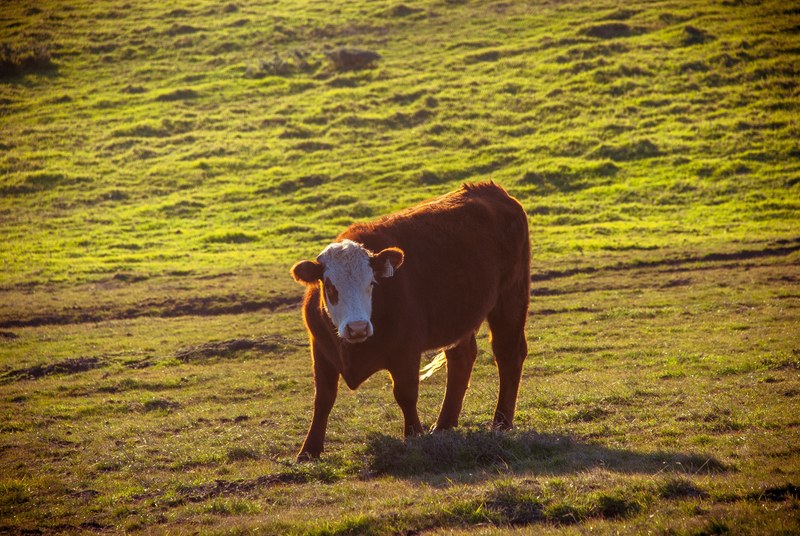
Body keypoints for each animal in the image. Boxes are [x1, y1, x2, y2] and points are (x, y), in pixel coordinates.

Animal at [290, 182, 530, 460]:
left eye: (371, 283)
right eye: (329, 286)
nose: (357, 327)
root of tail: (491, 189)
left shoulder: (406, 351)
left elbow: (405, 394)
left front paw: (414, 436)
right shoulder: (321, 351)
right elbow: (323, 399)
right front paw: (308, 450)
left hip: (510, 298)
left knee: (508, 354)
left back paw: (501, 423)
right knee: (462, 358)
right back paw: (444, 424)